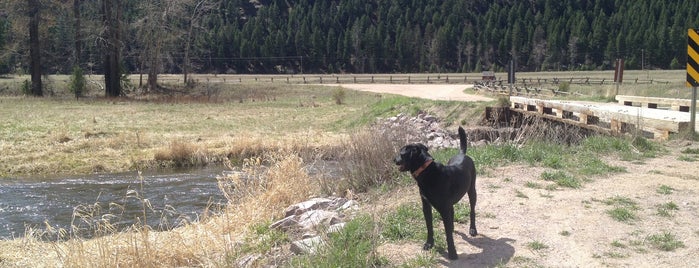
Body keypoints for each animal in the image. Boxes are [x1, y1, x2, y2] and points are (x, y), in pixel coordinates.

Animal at [394, 126, 476, 260]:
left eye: (401, 153)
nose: (394, 159)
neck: (428, 172)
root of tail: (462, 154)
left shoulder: (444, 209)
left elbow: (448, 235)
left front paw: (452, 252)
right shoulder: (426, 206)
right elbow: (429, 227)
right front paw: (429, 244)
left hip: (472, 189)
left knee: (472, 210)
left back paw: (473, 229)